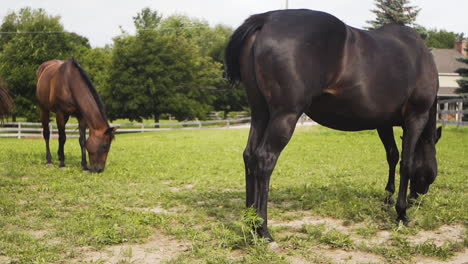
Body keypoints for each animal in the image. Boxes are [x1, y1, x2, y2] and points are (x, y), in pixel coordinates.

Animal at [226, 9, 442, 239]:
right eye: (429, 175)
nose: (416, 199)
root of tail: (266, 19)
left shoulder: (383, 123)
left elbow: (392, 156)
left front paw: (387, 198)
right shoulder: (416, 117)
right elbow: (406, 163)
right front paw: (401, 212)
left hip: (260, 114)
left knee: (249, 156)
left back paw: (250, 222)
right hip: (285, 115)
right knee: (264, 159)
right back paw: (263, 229)